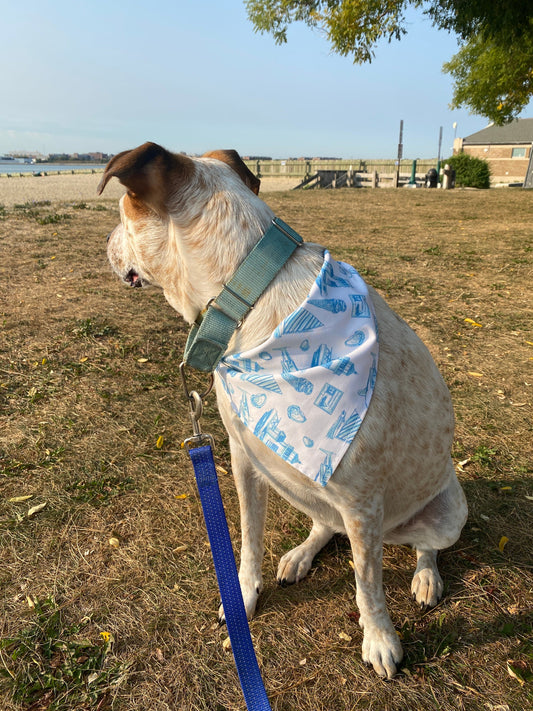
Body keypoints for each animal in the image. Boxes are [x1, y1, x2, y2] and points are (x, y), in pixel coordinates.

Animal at [98, 142, 466, 680]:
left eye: (123, 213)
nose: (105, 244)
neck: (247, 296)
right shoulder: (243, 457)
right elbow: (248, 541)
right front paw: (244, 600)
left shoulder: (361, 500)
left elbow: (369, 586)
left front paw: (379, 640)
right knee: (325, 525)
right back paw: (300, 556)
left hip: (446, 509)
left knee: (425, 548)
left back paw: (424, 578)